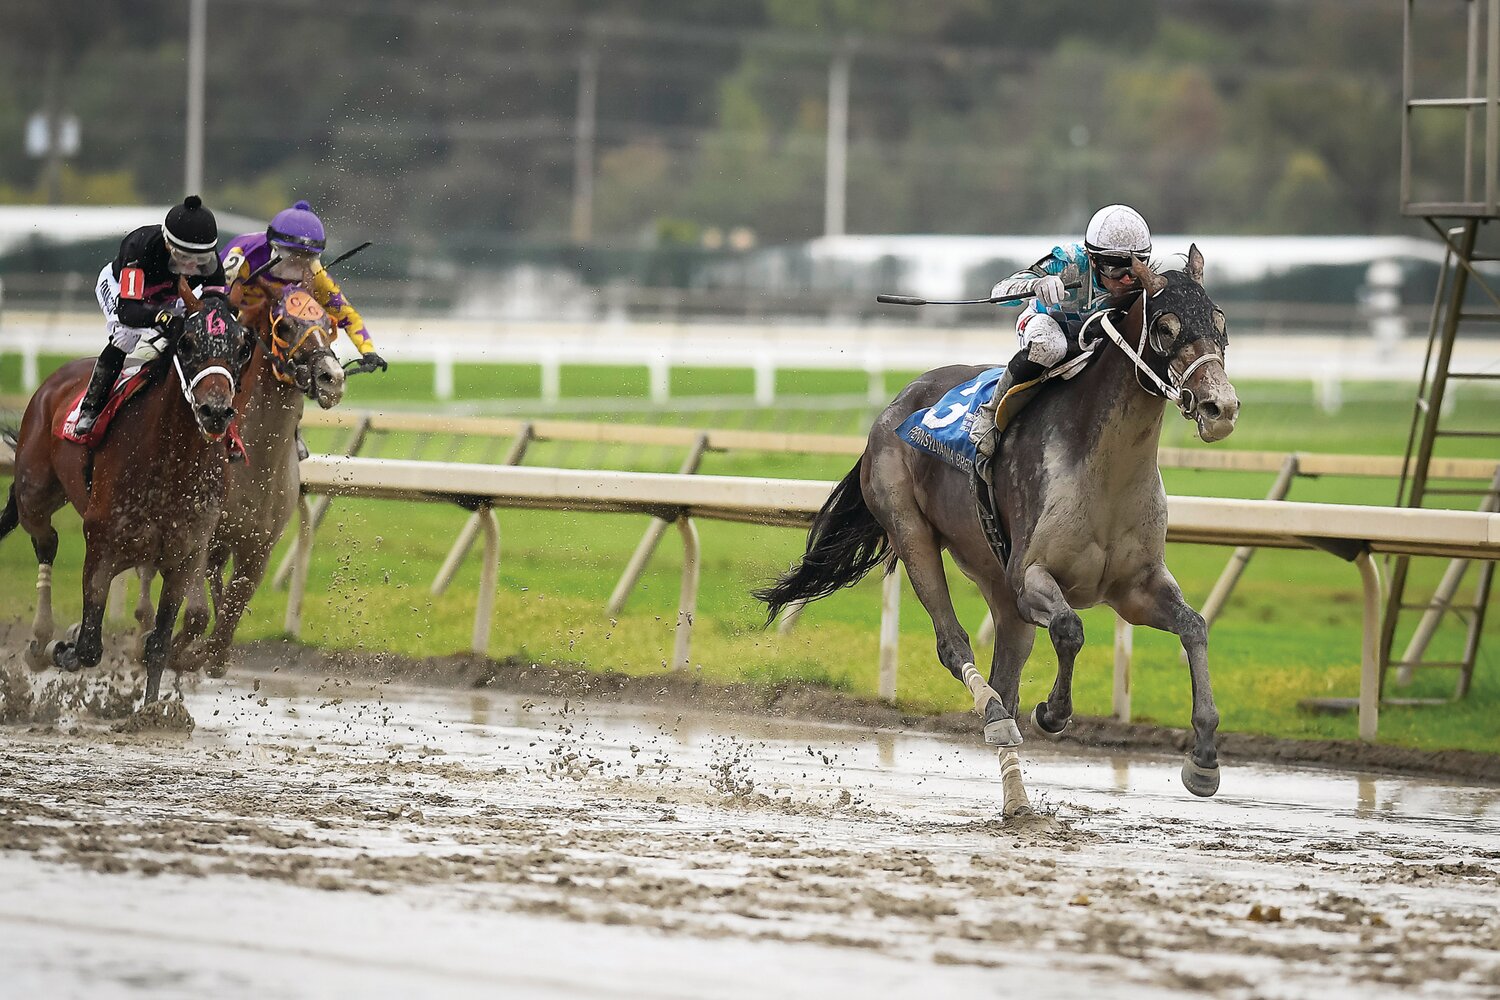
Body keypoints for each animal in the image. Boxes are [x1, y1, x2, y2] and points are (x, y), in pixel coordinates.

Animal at [0, 281, 252, 704]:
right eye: (186, 343)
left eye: (242, 347)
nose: (215, 411)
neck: (171, 462)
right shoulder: (102, 544)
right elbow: (88, 645)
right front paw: (64, 645)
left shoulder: (185, 555)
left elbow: (159, 646)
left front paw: (152, 710)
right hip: (35, 493)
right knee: (46, 542)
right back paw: (40, 640)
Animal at [762, 248, 1242, 803]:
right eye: (1165, 327)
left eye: (1219, 323)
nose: (1221, 408)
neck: (1105, 472)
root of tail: (893, 407)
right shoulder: (1030, 575)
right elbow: (1070, 628)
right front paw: (1053, 712)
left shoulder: (1135, 588)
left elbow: (1194, 627)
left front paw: (1204, 757)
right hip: (912, 530)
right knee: (955, 646)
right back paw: (992, 716)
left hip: (996, 582)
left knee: (1006, 678)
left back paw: (1017, 795)